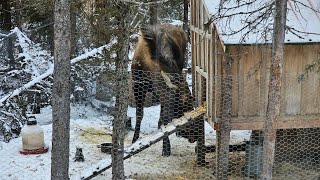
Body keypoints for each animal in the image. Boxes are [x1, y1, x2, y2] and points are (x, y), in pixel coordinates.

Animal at [131, 23, 195, 156]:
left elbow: (163, 119)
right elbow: (139, 115)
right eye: (183, 102)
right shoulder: (138, 87)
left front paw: (166, 147)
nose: (193, 136)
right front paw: (134, 139)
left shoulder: (162, 94)